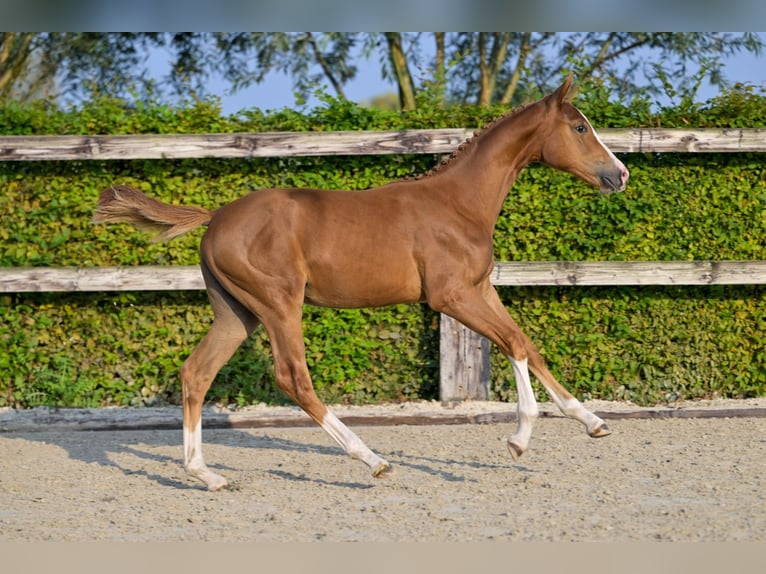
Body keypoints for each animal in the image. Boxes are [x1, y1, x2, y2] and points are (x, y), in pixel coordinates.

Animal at [93, 75, 628, 490]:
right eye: (580, 127)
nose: (620, 174)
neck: (459, 203)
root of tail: (216, 216)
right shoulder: (451, 297)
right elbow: (514, 344)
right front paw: (519, 440)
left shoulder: (480, 290)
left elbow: (528, 345)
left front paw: (594, 422)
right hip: (278, 304)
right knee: (293, 377)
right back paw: (373, 460)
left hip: (236, 313)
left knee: (196, 373)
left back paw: (207, 475)